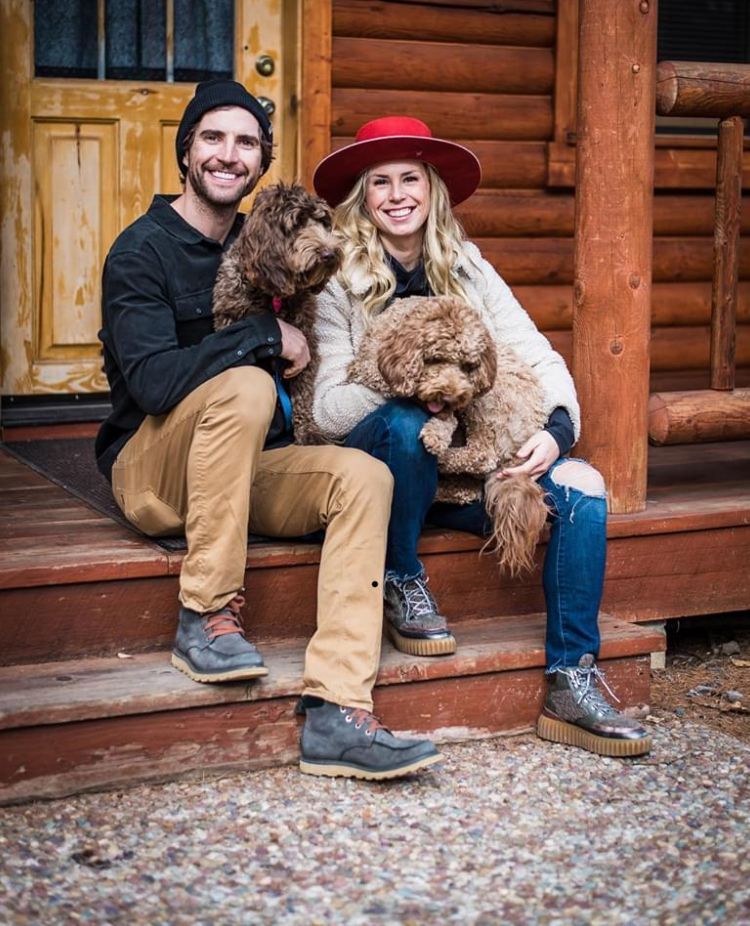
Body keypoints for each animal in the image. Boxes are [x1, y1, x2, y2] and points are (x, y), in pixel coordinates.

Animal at [214, 183, 344, 444]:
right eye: (297, 223)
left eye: (323, 222)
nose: (330, 253)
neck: (273, 296)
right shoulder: (229, 321)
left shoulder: (307, 342)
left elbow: (303, 392)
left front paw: (309, 431)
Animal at [350, 294, 548, 576]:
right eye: (435, 358)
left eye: (468, 366)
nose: (452, 394)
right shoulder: (369, 366)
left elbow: (448, 419)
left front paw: (437, 436)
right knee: (471, 488)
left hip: (488, 402)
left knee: (482, 456)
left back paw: (442, 463)